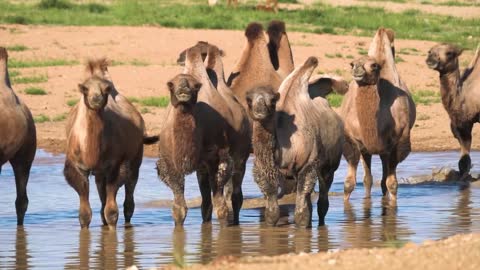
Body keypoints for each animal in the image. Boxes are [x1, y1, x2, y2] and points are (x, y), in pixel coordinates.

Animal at [63, 58, 157, 228]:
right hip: (101, 173)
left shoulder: (115, 165)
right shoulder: (78, 167)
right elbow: (84, 214)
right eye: (85, 89)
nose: (96, 98)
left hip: (135, 159)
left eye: (106, 89)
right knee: (102, 197)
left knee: (128, 199)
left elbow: (112, 211)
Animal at [158, 46, 236, 226]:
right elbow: (179, 209)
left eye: (195, 86)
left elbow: (221, 207)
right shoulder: (170, 163)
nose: (183, 90)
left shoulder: (218, 157)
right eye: (172, 84)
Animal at [342, 29, 416, 202]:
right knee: (368, 179)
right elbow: (349, 184)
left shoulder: (399, 141)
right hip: (369, 150)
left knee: (383, 179)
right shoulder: (352, 140)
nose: (357, 69)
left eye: (373, 65)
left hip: (386, 149)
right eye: (352, 63)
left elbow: (392, 184)